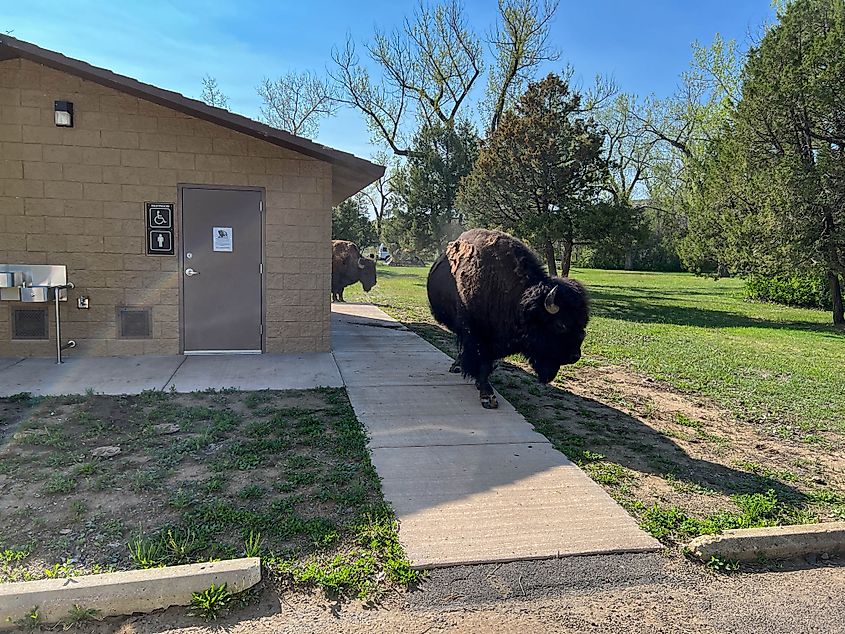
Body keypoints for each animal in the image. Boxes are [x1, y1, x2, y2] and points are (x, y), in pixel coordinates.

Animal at [427, 228, 589, 409]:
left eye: (583, 322)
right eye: (561, 324)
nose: (575, 356)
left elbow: (487, 364)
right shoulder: (477, 336)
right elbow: (482, 362)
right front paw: (488, 397)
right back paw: (456, 366)